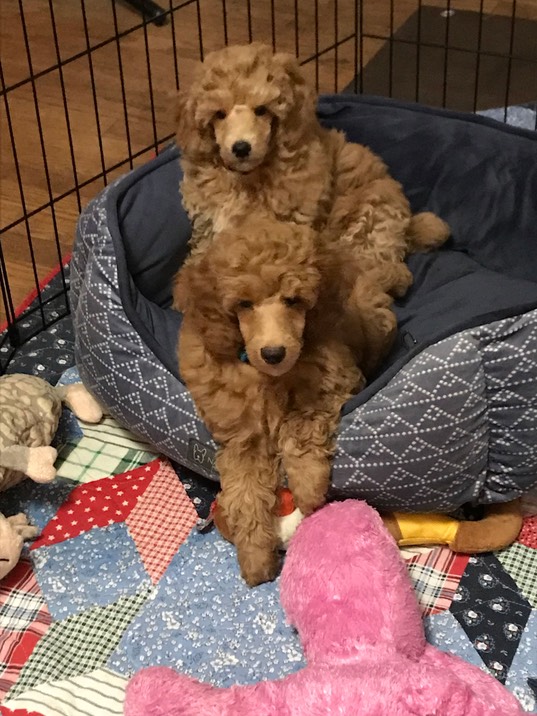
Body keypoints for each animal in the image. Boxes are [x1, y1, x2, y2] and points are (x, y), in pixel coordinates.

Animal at [175, 41, 448, 294]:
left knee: (390, 273)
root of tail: (407, 227)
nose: (241, 148)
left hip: (369, 219)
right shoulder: (208, 224)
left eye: (261, 110)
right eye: (219, 115)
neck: (248, 177)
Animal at [176, 220, 398, 588]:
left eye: (293, 300)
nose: (273, 353)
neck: (271, 376)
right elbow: (245, 490)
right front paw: (255, 558)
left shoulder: (332, 382)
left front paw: (308, 490)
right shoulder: (242, 434)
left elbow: (301, 423)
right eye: (244, 304)